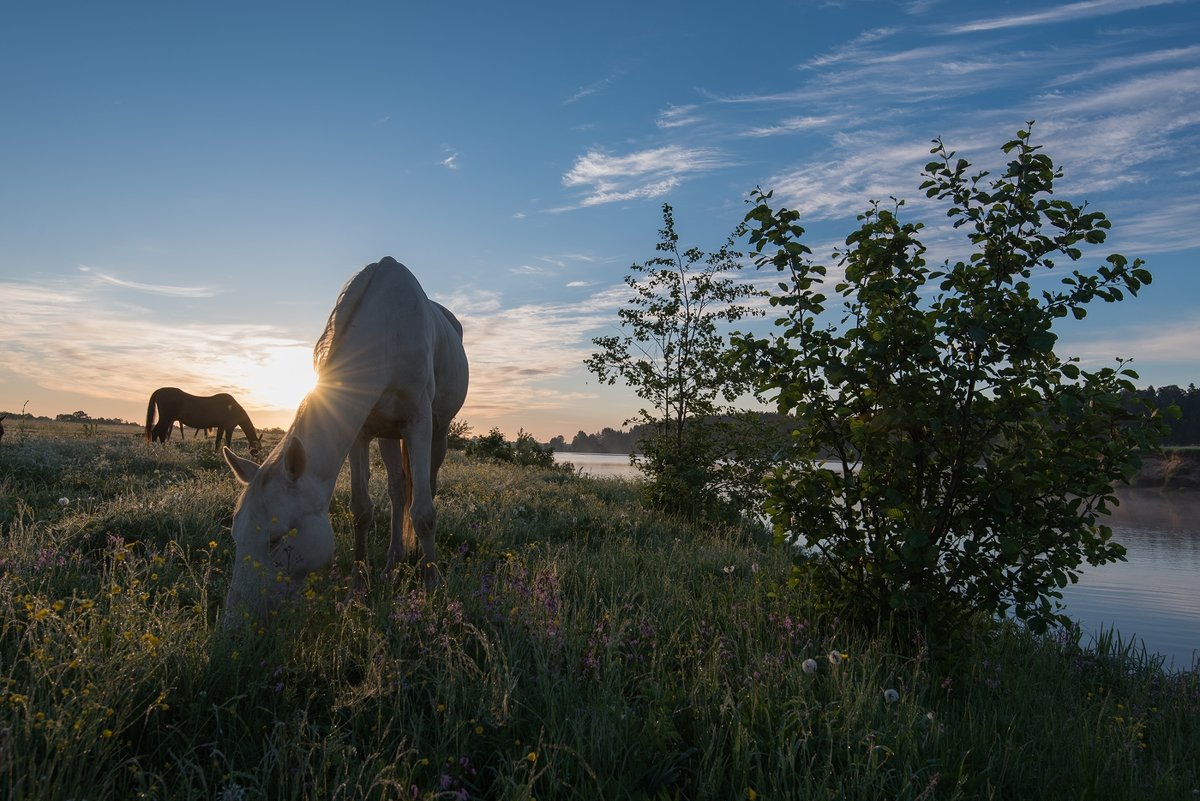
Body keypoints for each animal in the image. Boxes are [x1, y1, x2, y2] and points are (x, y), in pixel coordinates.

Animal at [223, 260, 465, 623]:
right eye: (235, 534)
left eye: (277, 538)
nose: (235, 621)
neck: (387, 330)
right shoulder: (360, 431)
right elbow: (361, 510)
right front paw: (357, 591)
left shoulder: (419, 423)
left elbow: (423, 512)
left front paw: (433, 591)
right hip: (389, 436)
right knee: (398, 490)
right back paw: (393, 563)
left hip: (439, 431)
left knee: (426, 488)